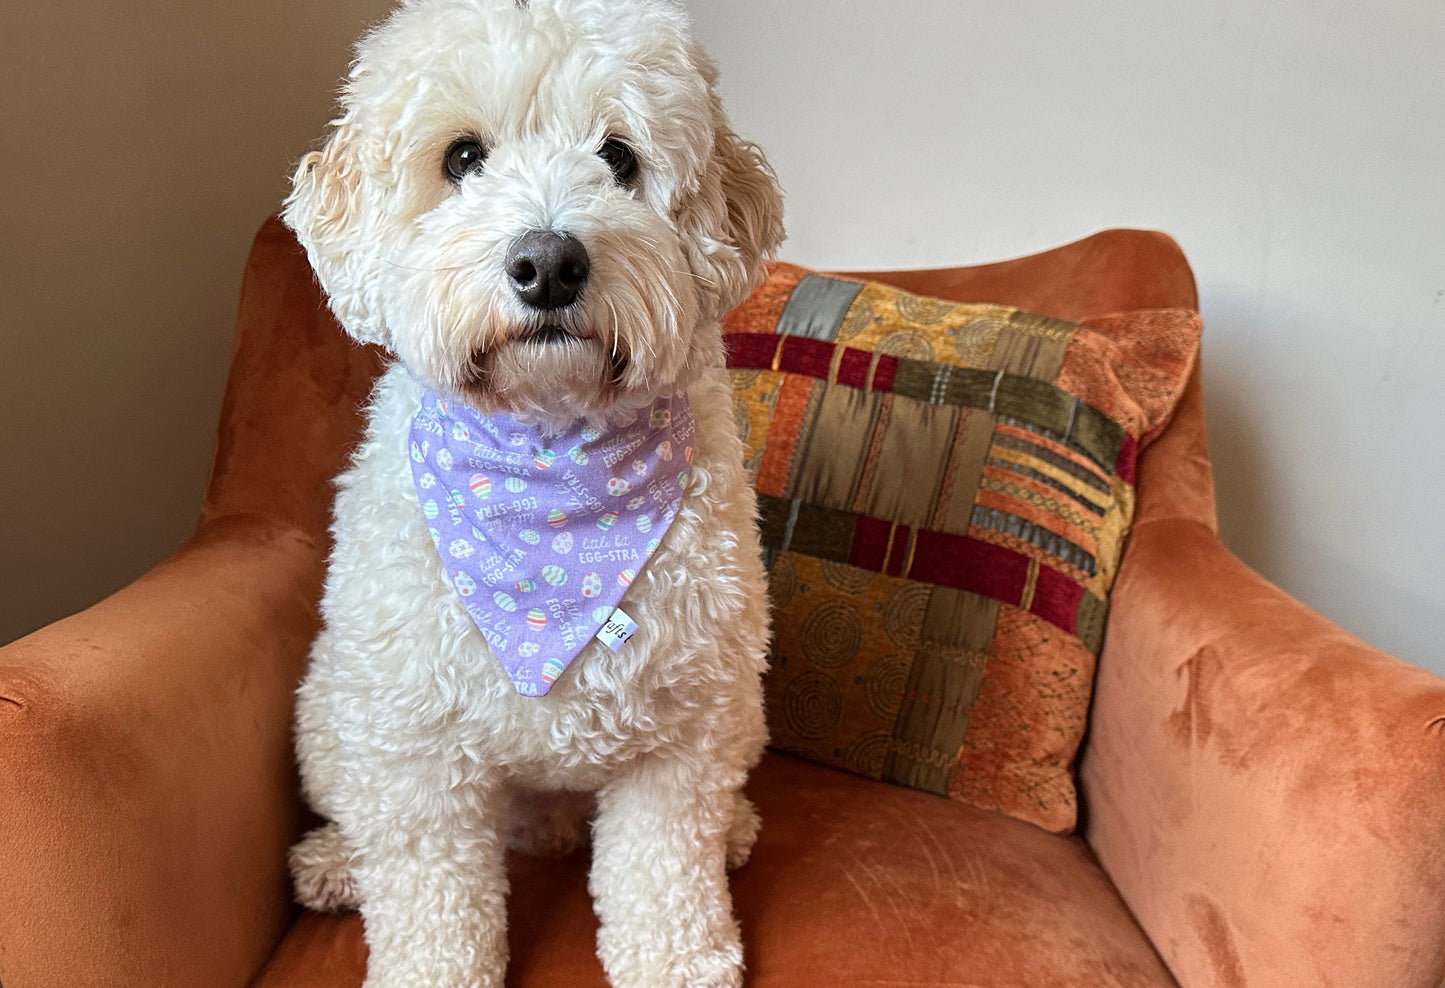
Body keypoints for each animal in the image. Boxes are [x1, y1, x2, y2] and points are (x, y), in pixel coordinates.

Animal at [277, 1, 786, 988]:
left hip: (743, 714)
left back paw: (738, 827)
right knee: (355, 814)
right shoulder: (413, 748)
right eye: (462, 158)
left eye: (619, 157)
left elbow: (666, 874)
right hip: (329, 716)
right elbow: (430, 899)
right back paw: (333, 862)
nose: (548, 263)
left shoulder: (684, 733)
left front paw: (681, 961)